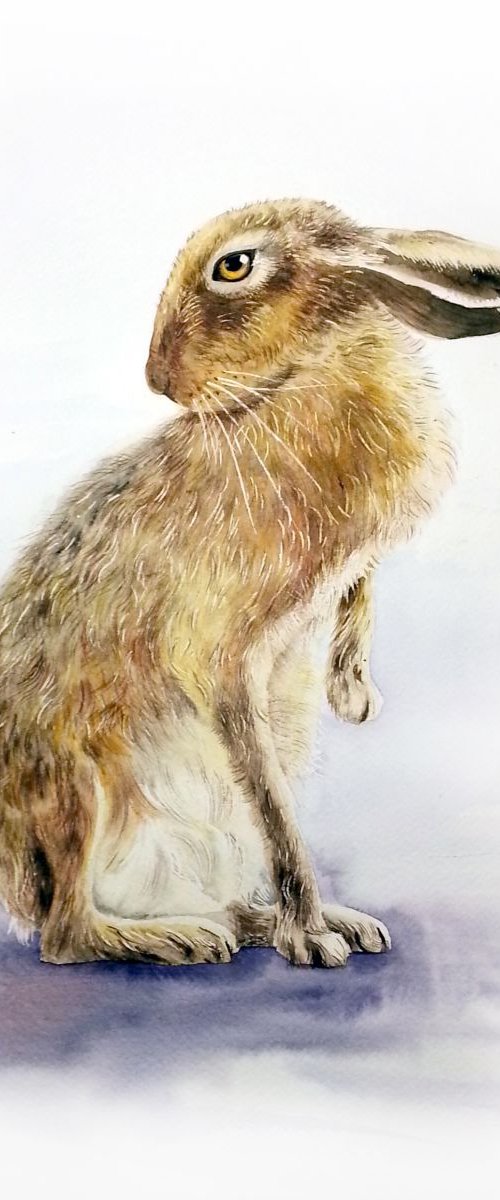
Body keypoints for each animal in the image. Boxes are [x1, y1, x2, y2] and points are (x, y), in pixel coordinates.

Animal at [1, 198, 499, 968]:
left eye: (234, 265)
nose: (158, 380)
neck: (296, 379)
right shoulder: (219, 656)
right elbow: (274, 811)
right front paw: (311, 941)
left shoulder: (351, 568)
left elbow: (361, 592)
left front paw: (353, 694)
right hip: (73, 791)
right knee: (67, 934)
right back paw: (184, 937)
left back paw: (293, 922)